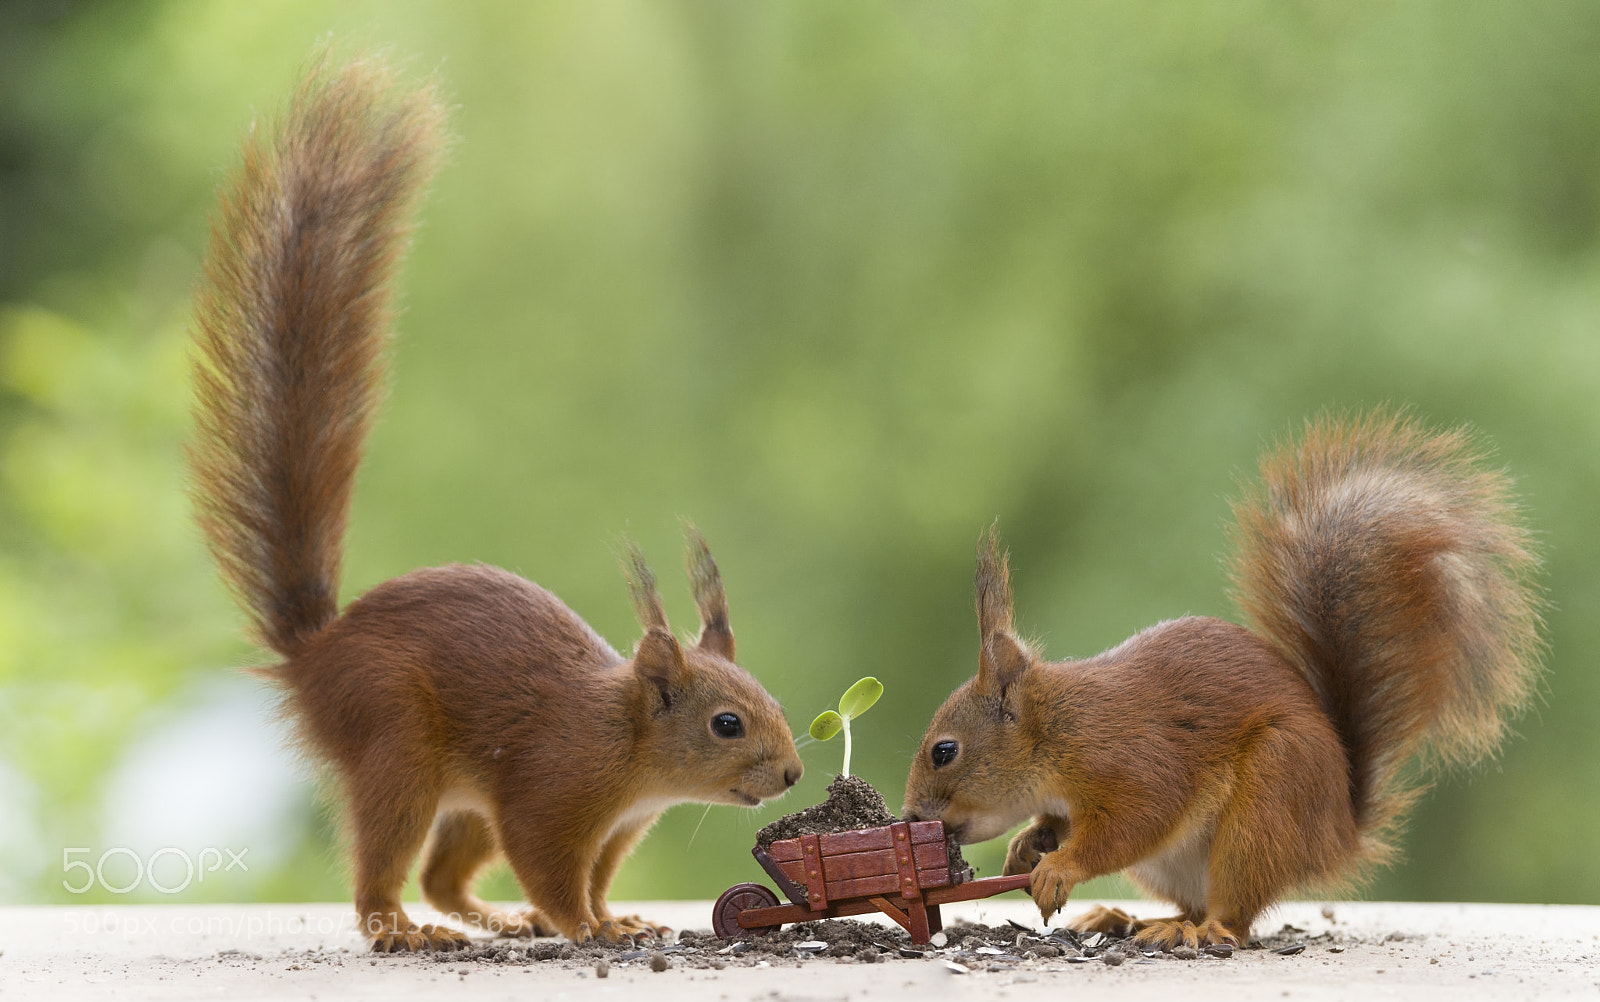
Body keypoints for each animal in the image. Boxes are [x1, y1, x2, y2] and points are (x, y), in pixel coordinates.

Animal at [186, 52, 804, 952]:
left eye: (773, 699)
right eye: (727, 723)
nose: (794, 772)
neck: (632, 755)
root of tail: (314, 651)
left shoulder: (616, 827)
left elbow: (596, 875)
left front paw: (617, 917)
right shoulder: (551, 789)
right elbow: (550, 863)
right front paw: (589, 929)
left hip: (459, 798)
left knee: (445, 876)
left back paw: (498, 920)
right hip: (397, 743)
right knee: (387, 868)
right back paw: (405, 930)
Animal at [903, 411, 1543, 950]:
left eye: (944, 751)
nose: (909, 819)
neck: (1059, 730)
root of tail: (1338, 831)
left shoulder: (1134, 759)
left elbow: (1133, 821)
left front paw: (1059, 866)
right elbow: (1059, 823)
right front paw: (1030, 843)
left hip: (1269, 799)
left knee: (1234, 916)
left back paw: (1195, 931)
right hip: (1180, 860)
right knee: (1192, 903)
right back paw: (1127, 918)